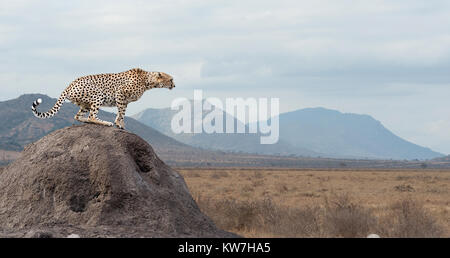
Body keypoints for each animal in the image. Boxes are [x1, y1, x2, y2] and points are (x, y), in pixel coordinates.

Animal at [31, 67, 175, 129]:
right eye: (171, 79)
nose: (174, 85)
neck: (147, 81)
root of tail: (70, 84)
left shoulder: (124, 100)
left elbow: (121, 112)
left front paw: (119, 123)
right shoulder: (120, 93)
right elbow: (121, 112)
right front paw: (119, 124)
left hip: (85, 104)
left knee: (78, 116)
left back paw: (87, 121)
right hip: (97, 94)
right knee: (92, 116)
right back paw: (105, 122)